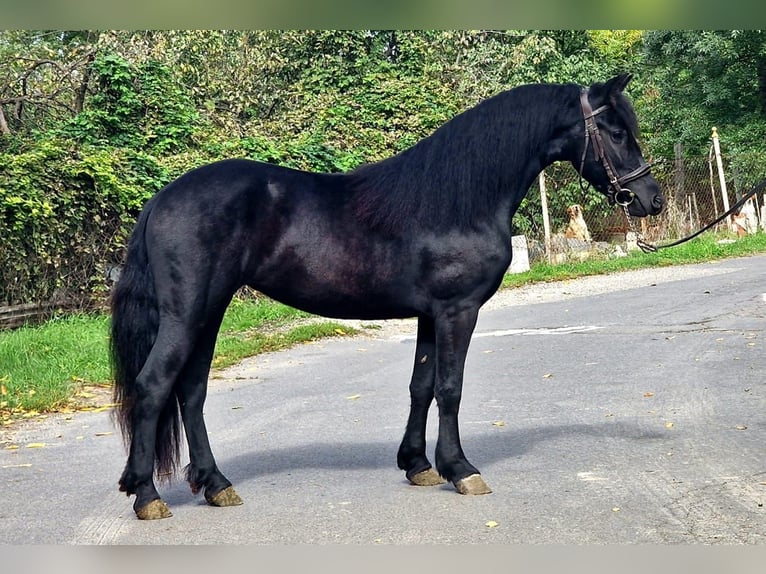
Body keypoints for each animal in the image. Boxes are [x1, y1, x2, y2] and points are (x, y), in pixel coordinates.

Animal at [112, 74, 664, 520]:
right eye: (616, 132)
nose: (651, 199)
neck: (461, 200)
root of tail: (160, 199)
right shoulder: (457, 311)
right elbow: (450, 388)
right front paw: (461, 469)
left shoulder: (429, 315)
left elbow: (421, 386)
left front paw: (418, 465)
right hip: (188, 314)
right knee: (155, 385)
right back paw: (147, 495)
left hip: (209, 312)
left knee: (191, 392)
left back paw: (215, 485)